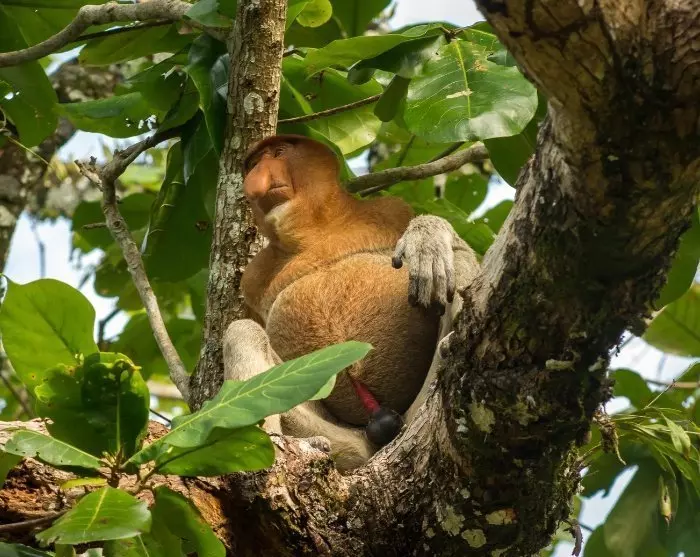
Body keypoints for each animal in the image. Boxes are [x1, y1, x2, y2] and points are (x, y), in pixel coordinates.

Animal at [222, 135, 479, 471]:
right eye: (254, 163)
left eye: (278, 153)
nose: (256, 177)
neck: (315, 230)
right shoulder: (252, 276)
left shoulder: (390, 208)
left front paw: (426, 238)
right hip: (334, 433)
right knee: (242, 331)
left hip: (420, 409)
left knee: (456, 257)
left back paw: (450, 341)